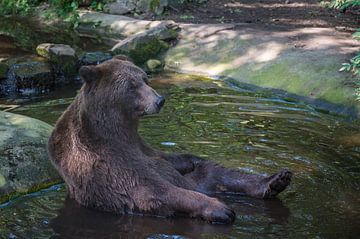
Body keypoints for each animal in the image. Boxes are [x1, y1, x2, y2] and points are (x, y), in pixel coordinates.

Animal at [47, 56, 292, 224]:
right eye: (131, 86)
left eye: (145, 78)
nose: (159, 100)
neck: (117, 131)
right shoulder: (104, 162)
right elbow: (153, 190)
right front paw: (223, 209)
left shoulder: (140, 146)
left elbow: (166, 158)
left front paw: (191, 159)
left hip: (199, 179)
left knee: (218, 171)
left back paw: (276, 180)